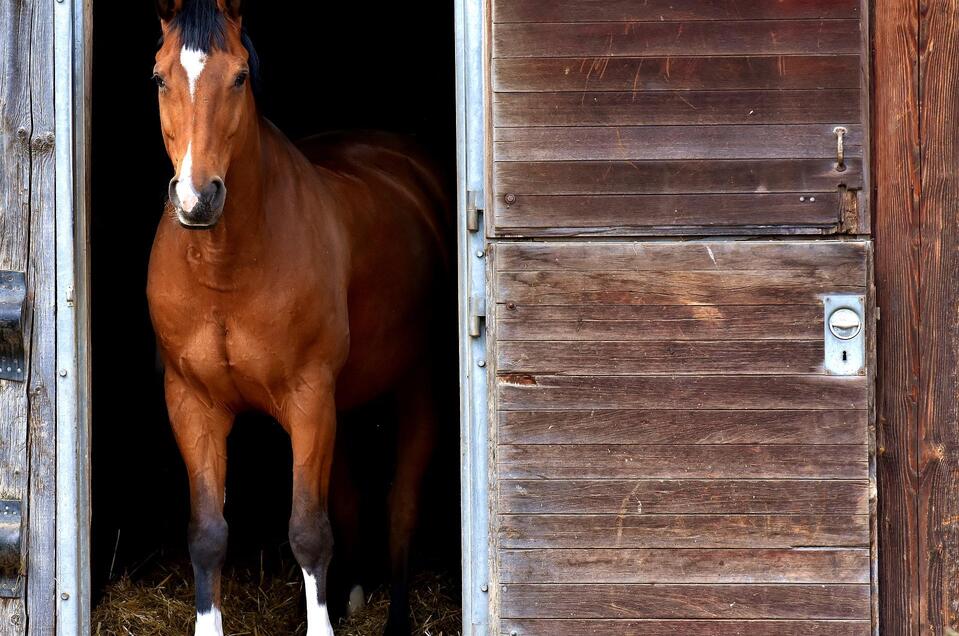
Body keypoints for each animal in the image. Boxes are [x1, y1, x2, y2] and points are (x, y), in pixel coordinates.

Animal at [147, 2, 454, 632]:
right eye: (160, 77)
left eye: (239, 77)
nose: (196, 199)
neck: (226, 269)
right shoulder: (191, 403)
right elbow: (207, 535)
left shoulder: (309, 397)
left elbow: (309, 532)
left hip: (416, 387)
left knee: (402, 504)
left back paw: (396, 617)